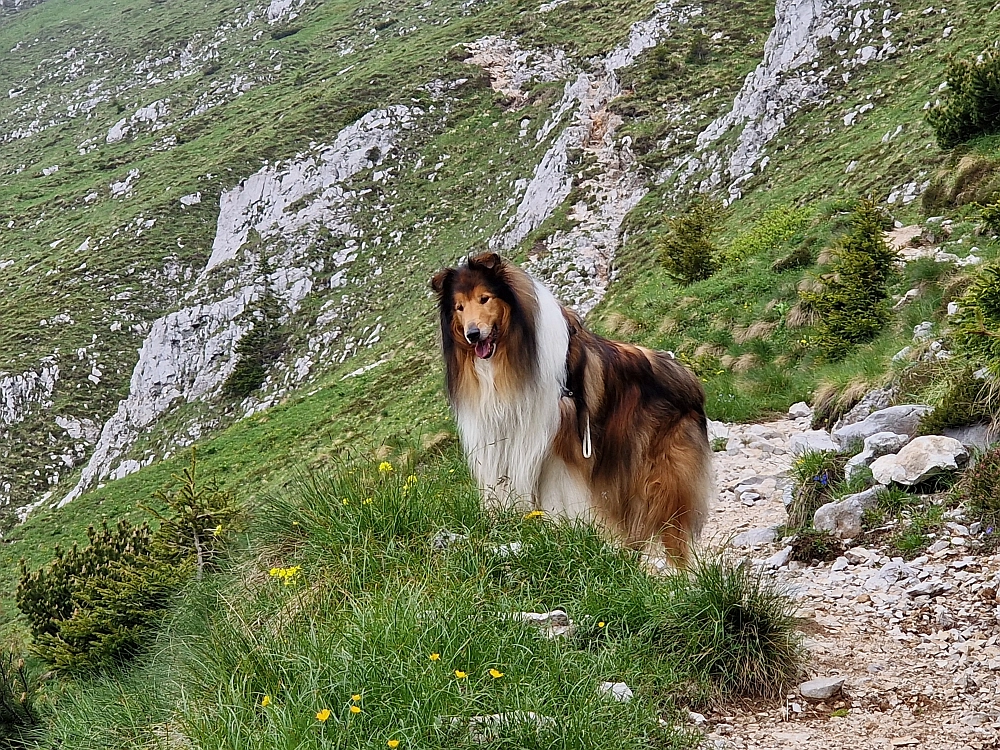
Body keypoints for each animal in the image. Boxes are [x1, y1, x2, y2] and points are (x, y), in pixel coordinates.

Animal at [430, 253, 712, 564]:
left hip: (662, 478)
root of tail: (690, 379)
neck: (507, 359)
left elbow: (558, 499)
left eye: (485, 298)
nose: (473, 334)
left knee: (673, 532)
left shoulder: (558, 450)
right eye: (459, 307)